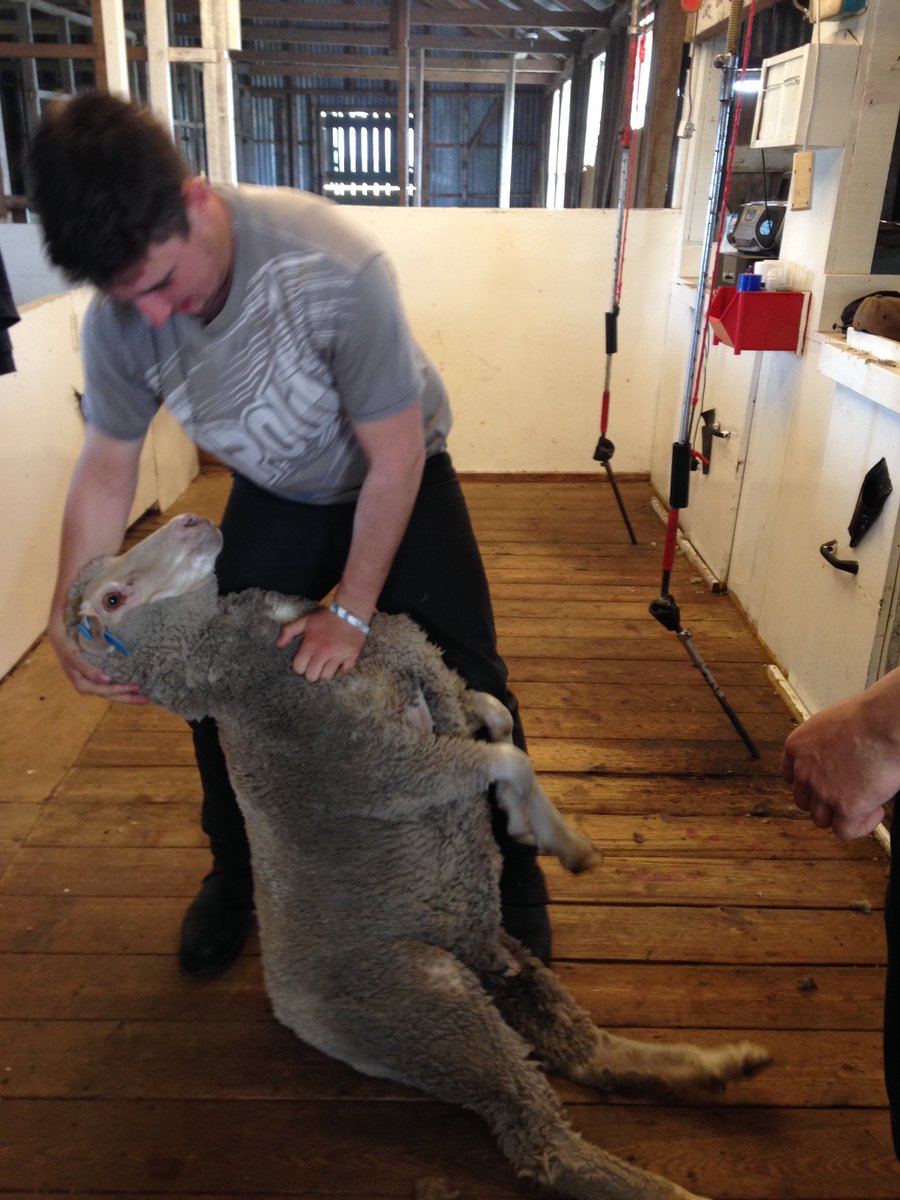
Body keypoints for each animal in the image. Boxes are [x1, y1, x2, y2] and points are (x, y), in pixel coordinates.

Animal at [68, 512, 771, 1200]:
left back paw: (720, 1065)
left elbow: (496, 714)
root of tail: (292, 1013)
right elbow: (504, 757)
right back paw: (668, 1179)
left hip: (497, 960)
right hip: (429, 1001)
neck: (248, 663)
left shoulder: (442, 691)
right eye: (112, 599)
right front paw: (558, 839)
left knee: (583, 1050)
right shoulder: (386, 765)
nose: (190, 519)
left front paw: (522, 825)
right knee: (542, 1139)